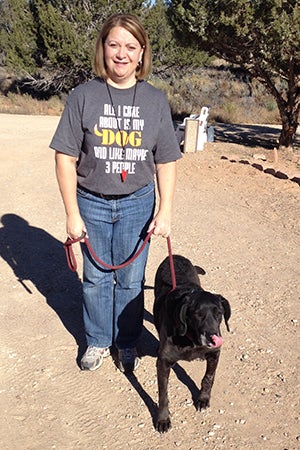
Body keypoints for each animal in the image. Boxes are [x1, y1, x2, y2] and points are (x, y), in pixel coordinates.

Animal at [154, 253, 231, 432]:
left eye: (219, 313)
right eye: (197, 314)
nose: (213, 337)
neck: (191, 340)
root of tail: (176, 255)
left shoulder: (215, 353)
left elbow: (208, 377)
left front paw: (203, 398)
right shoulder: (163, 362)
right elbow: (163, 394)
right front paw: (163, 419)